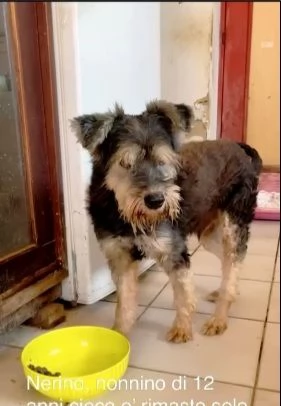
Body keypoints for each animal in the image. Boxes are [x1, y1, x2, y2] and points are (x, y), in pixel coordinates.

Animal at [71, 99, 262, 342]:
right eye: (126, 163)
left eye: (163, 160)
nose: (156, 201)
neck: (128, 217)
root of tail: (242, 149)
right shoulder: (120, 255)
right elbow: (124, 302)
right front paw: (120, 334)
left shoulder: (173, 251)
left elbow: (182, 294)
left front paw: (181, 328)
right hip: (210, 235)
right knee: (229, 260)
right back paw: (226, 292)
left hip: (233, 223)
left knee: (235, 259)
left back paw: (219, 317)